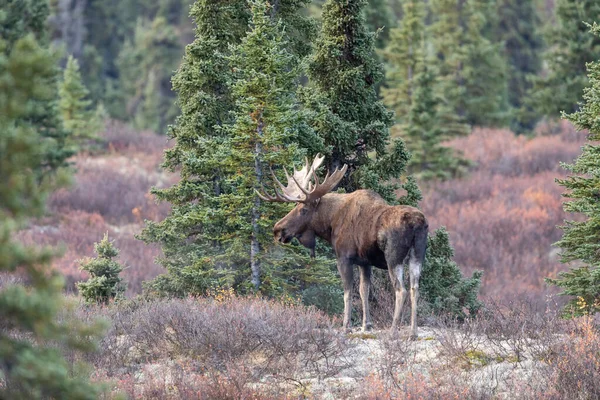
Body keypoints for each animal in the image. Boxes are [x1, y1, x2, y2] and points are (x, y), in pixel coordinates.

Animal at [255, 154, 428, 338]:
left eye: (303, 209)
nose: (277, 230)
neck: (331, 222)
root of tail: (417, 223)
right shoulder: (364, 262)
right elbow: (363, 291)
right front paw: (366, 325)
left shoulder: (344, 257)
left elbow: (347, 292)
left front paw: (346, 325)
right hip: (417, 255)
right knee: (415, 288)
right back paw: (413, 332)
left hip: (393, 257)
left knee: (401, 290)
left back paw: (394, 330)